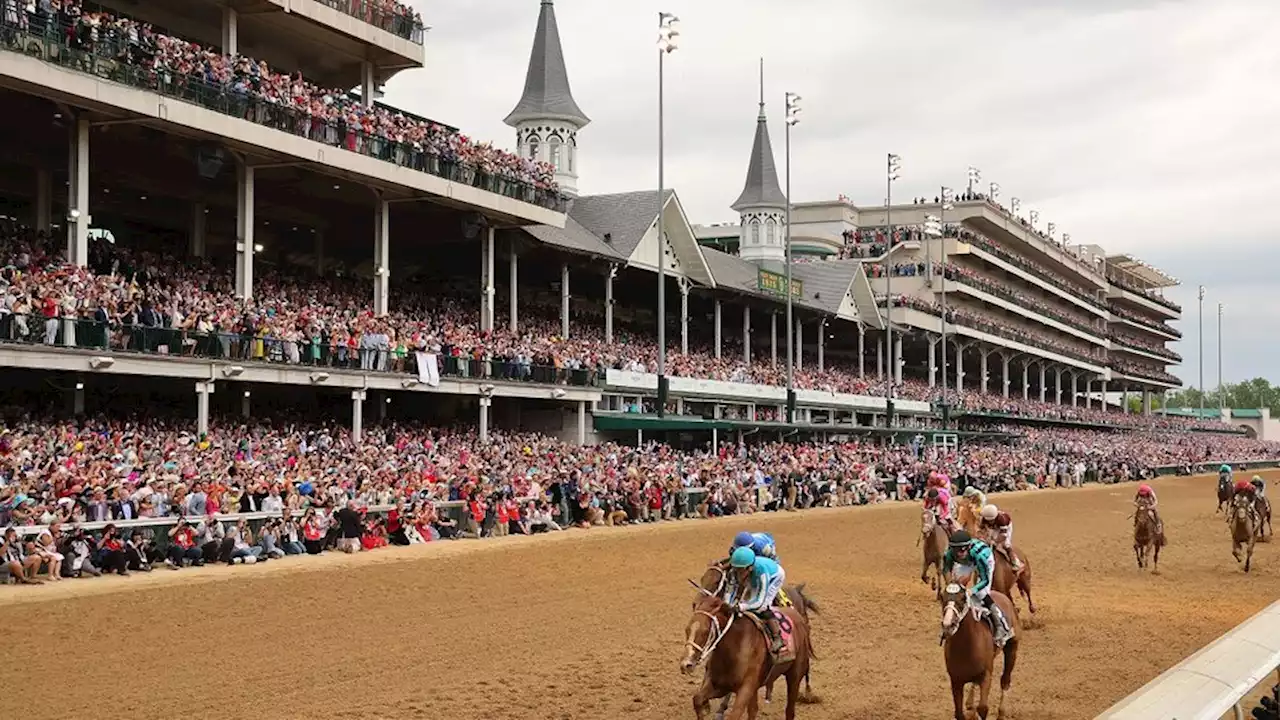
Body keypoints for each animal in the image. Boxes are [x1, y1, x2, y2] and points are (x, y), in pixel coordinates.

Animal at [680, 589, 808, 717]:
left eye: (705, 631)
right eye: (687, 629)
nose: (686, 664)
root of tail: (797, 614)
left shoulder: (745, 688)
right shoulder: (721, 685)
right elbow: (697, 699)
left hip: (795, 675)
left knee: (790, 710)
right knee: (753, 710)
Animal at [942, 576, 1018, 717]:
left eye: (963, 598)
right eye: (942, 596)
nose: (948, 625)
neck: (965, 647)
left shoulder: (986, 675)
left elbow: (983, 708)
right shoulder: (955, 680)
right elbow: (959, 713)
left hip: (1012, 648)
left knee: (1005, 680)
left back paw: (1001, 712)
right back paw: (970, 703)